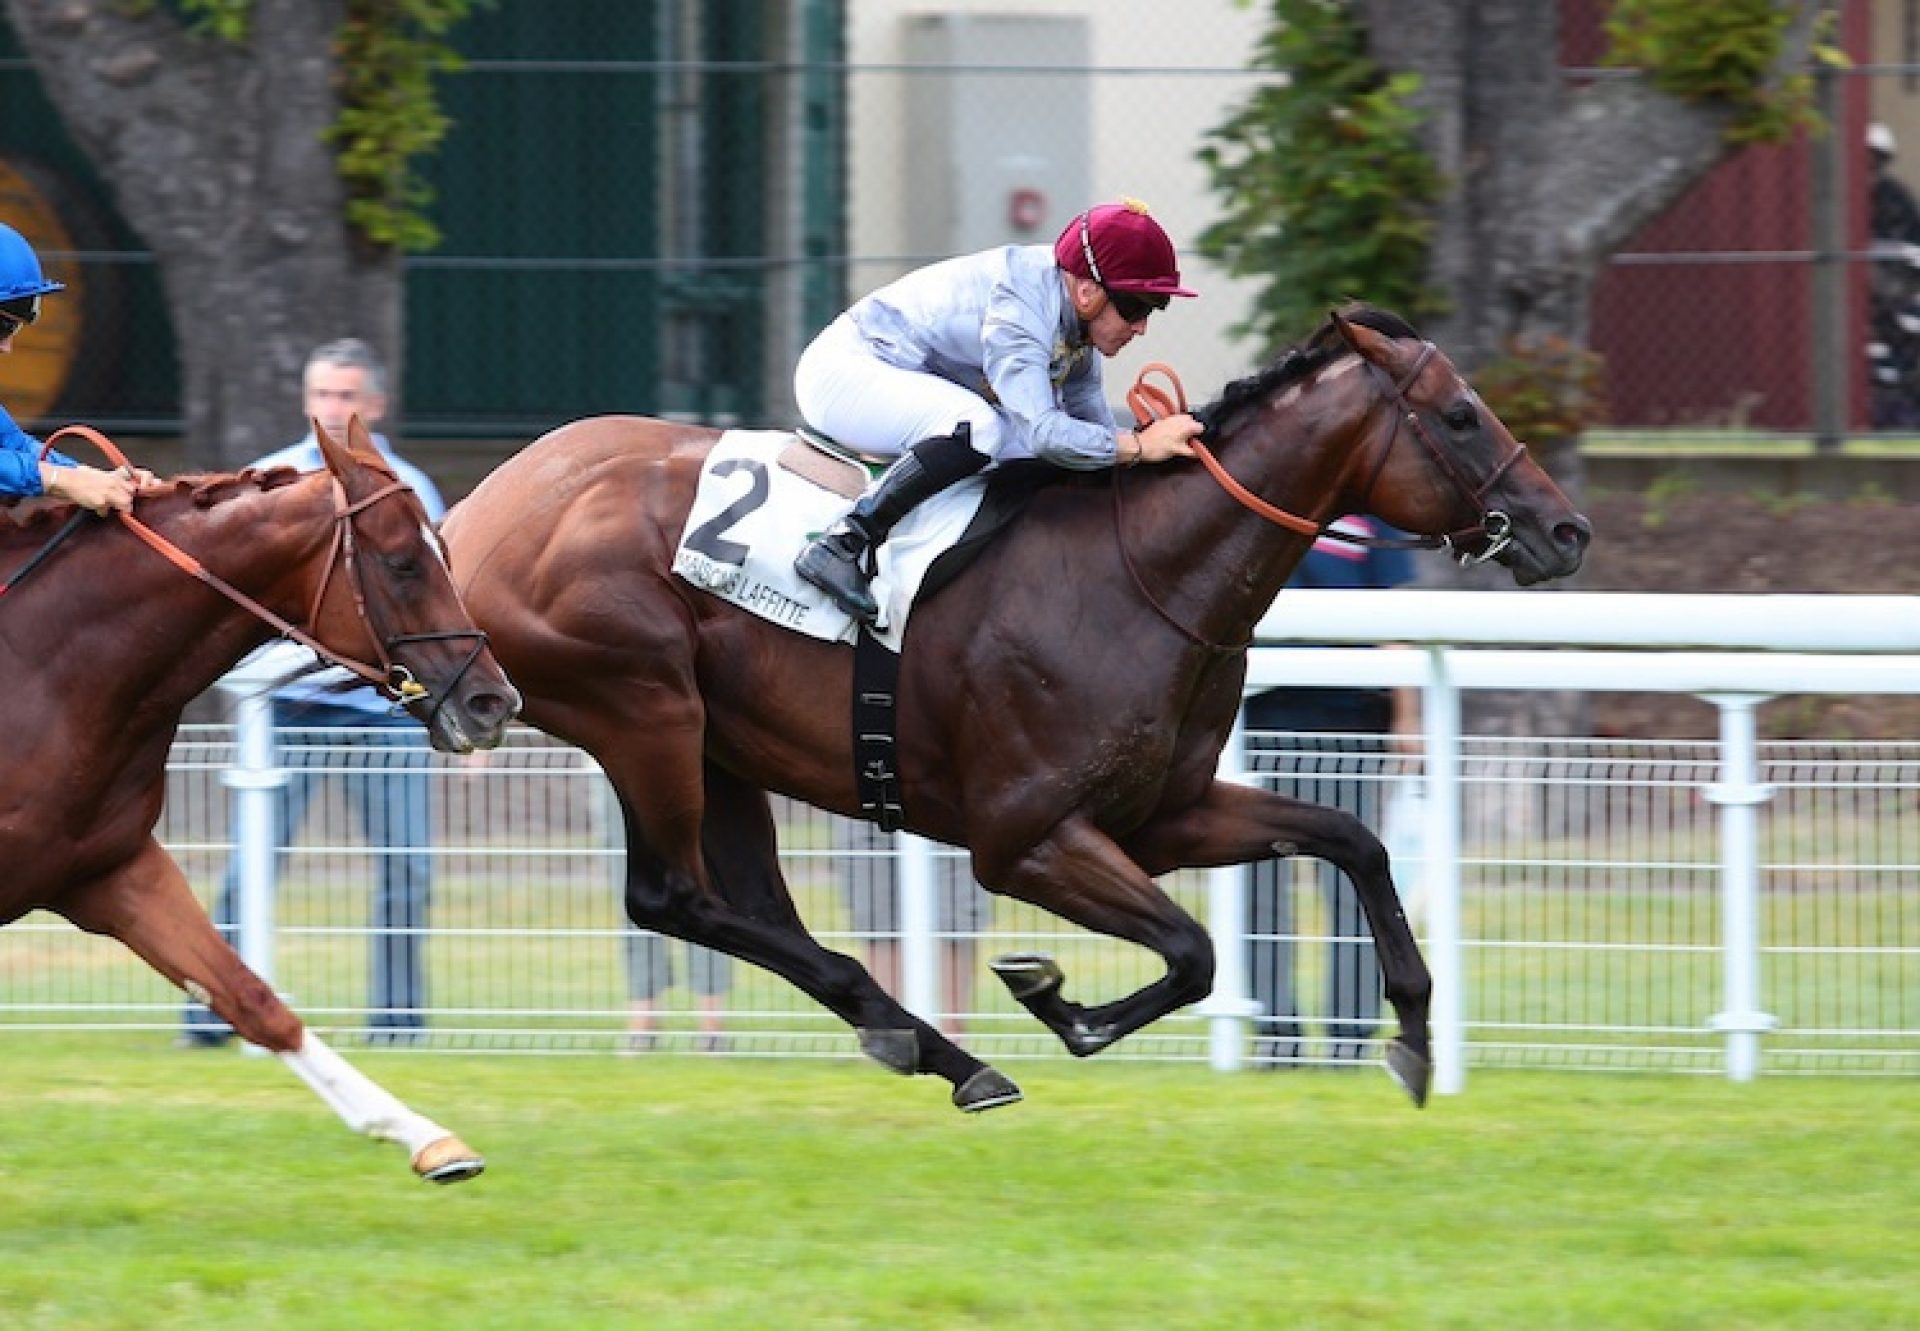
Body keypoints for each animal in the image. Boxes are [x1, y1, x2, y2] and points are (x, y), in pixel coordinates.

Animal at [1, 420, 518, 1175]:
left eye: (444, 551)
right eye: (402, 564)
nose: (493, 702)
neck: (47, 672)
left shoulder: (110, 870)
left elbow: (252, 997)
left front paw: (426, 1138)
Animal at [445, 305, 1589, 1106]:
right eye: (1459, 414)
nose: (1566, 529)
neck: (1145, 575)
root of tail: (468, 517)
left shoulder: (1165, 814)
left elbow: (1351, 838)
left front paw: (1415, 1033)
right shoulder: (1023, 836)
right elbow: (1194, 949)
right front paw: (1057, 999)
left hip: (718, 742)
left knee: (750, 906)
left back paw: (920, 1039)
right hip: (643, 708)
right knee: (671, 897)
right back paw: (938, 1046)